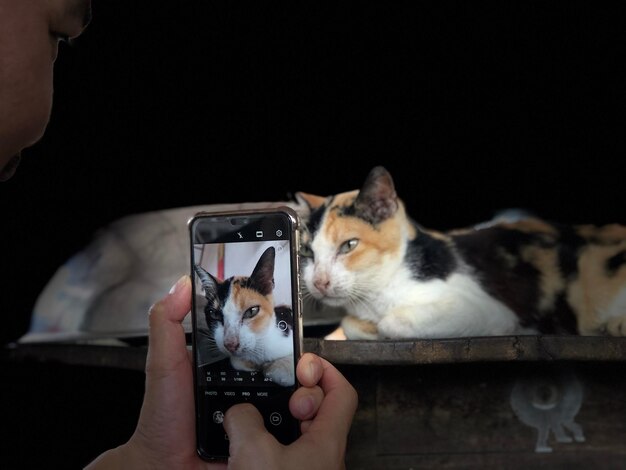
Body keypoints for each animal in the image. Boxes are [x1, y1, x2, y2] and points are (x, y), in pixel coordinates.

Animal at [194, 246, 294, 386]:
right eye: (214, 314)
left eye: (252, 311)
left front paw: (278, 366)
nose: (230, 344)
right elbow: (238, 362)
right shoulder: (238, 360)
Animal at [294, 167, 624, 340]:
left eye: (348, 245)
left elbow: (392, 322)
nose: (319, 282)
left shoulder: (493, 311)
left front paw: (381, 328)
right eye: (307, 251)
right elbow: (349, 325)